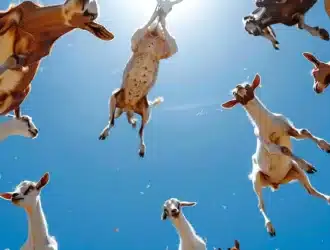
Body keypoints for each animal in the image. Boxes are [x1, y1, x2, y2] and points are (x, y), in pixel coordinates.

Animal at [98, 2, 178, 157]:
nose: (166, 7)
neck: (154, 35)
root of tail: (129, 105)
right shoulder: (138, 39)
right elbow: (152, 20)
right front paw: (159, 10)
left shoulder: (170, 47)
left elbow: (159, 22)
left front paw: (162, 11)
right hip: (114, 97)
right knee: (112, 121)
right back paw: (105, 133)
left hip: (146, 112)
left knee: (140, 131)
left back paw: (141, 148)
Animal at [220, 73, 330, 236]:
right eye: (234, 94)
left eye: (247, 85)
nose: (237, 87)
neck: (267, 123)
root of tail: (276, 184)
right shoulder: (268, 145)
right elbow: (285, 150)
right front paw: (307, 164)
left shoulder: (289, 129)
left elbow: (304, 132)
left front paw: (325, 146)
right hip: (257, 179)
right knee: (261, 205)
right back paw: (270, 227)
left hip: (294, 171)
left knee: (311, 191)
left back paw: (328, 198)